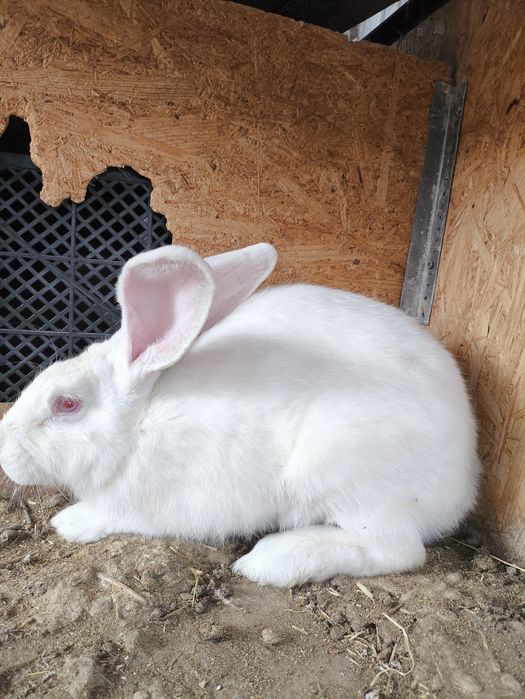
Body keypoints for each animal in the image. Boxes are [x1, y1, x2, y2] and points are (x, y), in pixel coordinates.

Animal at [0, 242, 480, 587]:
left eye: (66, 404)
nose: (3, 450)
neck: (139, 424)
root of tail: (464, 482)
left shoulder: (163, 503)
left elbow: (113, 514)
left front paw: (69, 522)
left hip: (344, 472)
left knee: (397, 550)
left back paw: (270, 561)